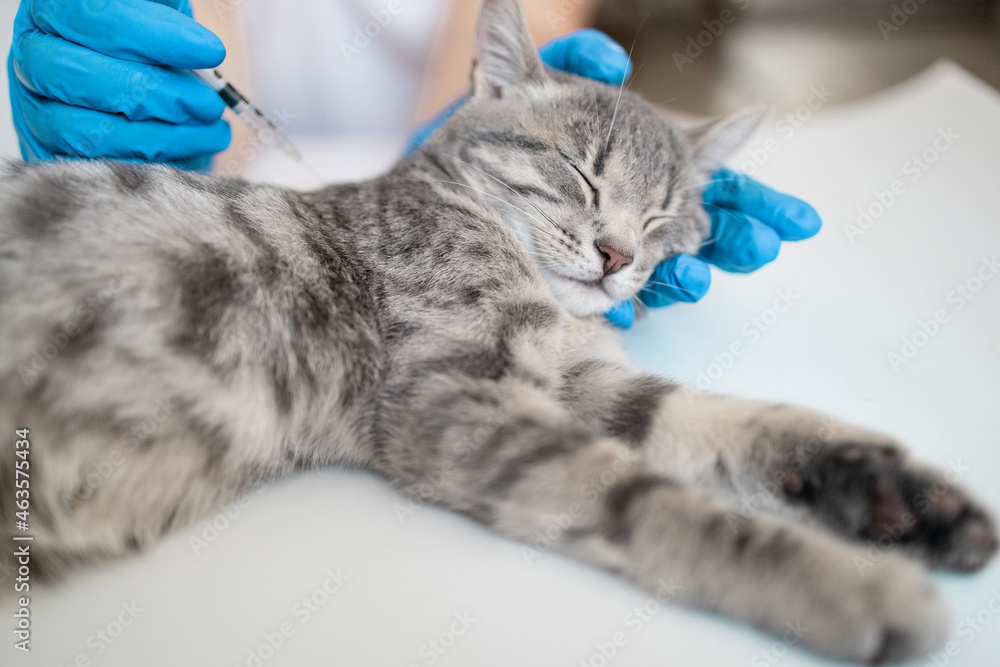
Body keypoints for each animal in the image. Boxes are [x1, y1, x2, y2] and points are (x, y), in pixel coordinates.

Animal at [1, 0, 1000, 660]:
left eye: (667, 217)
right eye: (580, 173)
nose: (615, 255)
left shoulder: (583, 377)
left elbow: (724, 419)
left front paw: (888, 489)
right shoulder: (451, 397)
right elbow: (646, 496)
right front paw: (843, 581)